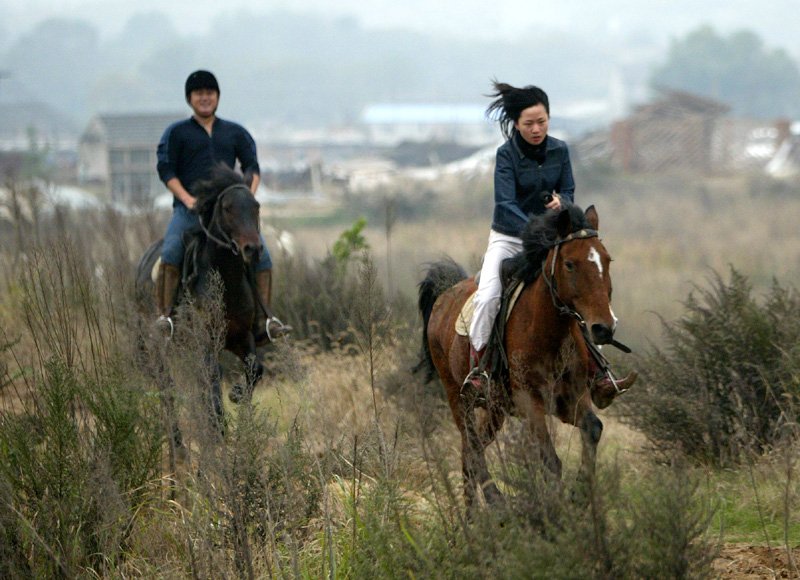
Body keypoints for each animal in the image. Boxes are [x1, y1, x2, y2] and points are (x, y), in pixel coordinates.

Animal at [418, 206, 620, 510]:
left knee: (471, 449)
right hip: (458, 397)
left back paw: (472, 514)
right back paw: (494, 503)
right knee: (471, 448)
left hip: (495, 408)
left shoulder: (570, 397)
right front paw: (558, 508)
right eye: (569, 264)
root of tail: (445, 294)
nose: (603, 328)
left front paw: (579, 495)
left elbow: (593, 429)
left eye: (606, 261)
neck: (548, 331)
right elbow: (550, 460)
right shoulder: (529, 401)